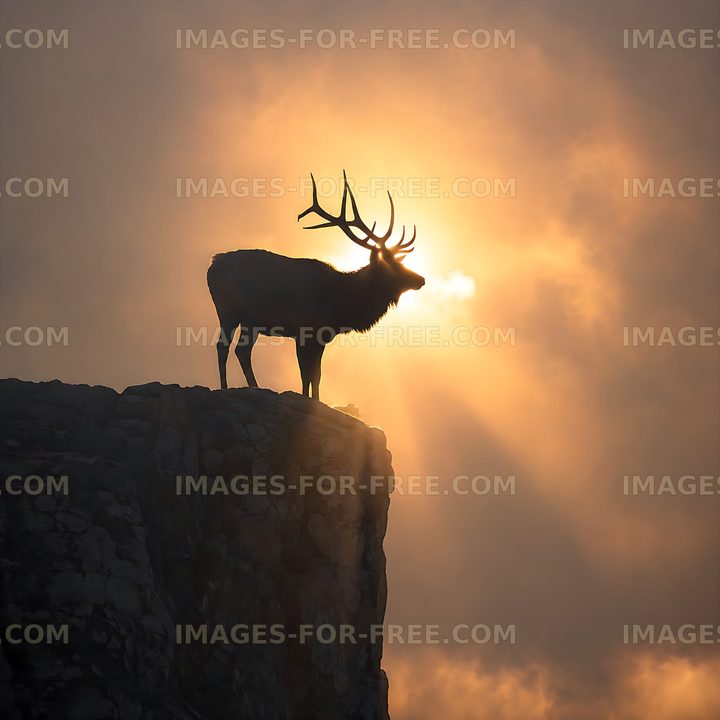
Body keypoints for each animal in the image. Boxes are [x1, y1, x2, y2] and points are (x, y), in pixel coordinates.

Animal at [206, 171, 425, 400]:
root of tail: (212, 264)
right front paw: (310, 400)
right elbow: (308, 374)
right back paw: (225, 388)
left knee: (242, 350)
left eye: (401, 262)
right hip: (227, 310)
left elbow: (314, 374)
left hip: (251, 320)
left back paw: (255, 387)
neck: (341, 303)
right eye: (392, 266)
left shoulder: (318, 335)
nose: (421, 279)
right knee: (223, 346)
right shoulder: (306, 330)